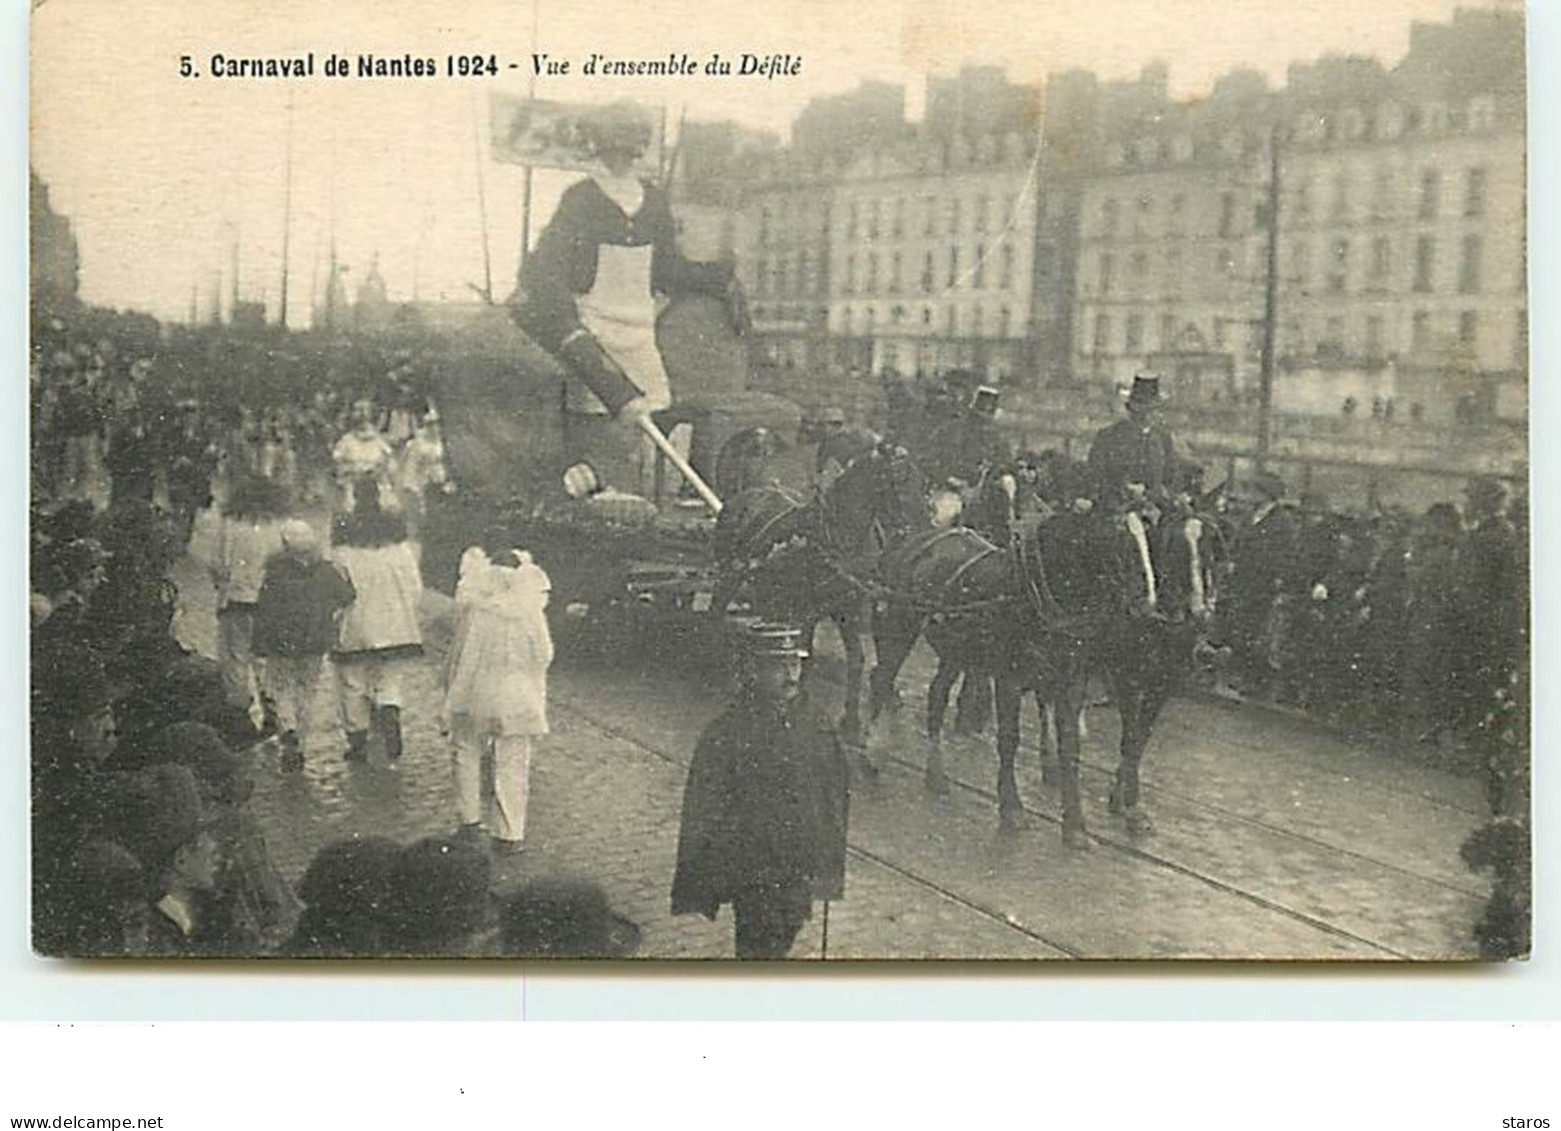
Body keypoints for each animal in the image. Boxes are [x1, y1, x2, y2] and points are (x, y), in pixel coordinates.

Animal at [714, 433, 930, 742]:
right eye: (898, 478)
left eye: (923, 481)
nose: (924, 527)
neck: (839, 538)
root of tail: (748, 493)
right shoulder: (807, 605)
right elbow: (802, 654)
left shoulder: (846, 606)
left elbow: (854, 659)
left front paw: (851, 722)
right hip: (728, 578)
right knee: (717, 617)